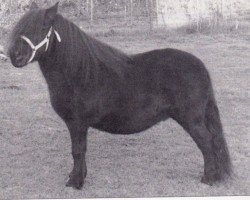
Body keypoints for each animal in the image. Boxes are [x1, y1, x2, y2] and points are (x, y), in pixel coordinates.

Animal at [7, 1, 230, 189]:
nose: (14, 55)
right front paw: (78, 177)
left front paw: (75, 182)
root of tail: (199, 66)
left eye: (42, 27)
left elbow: (77, 151)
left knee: (207, 142)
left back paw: (209, 178)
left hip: (191, 120)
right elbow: (80, 151)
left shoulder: (77, 123)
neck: (78, 72)